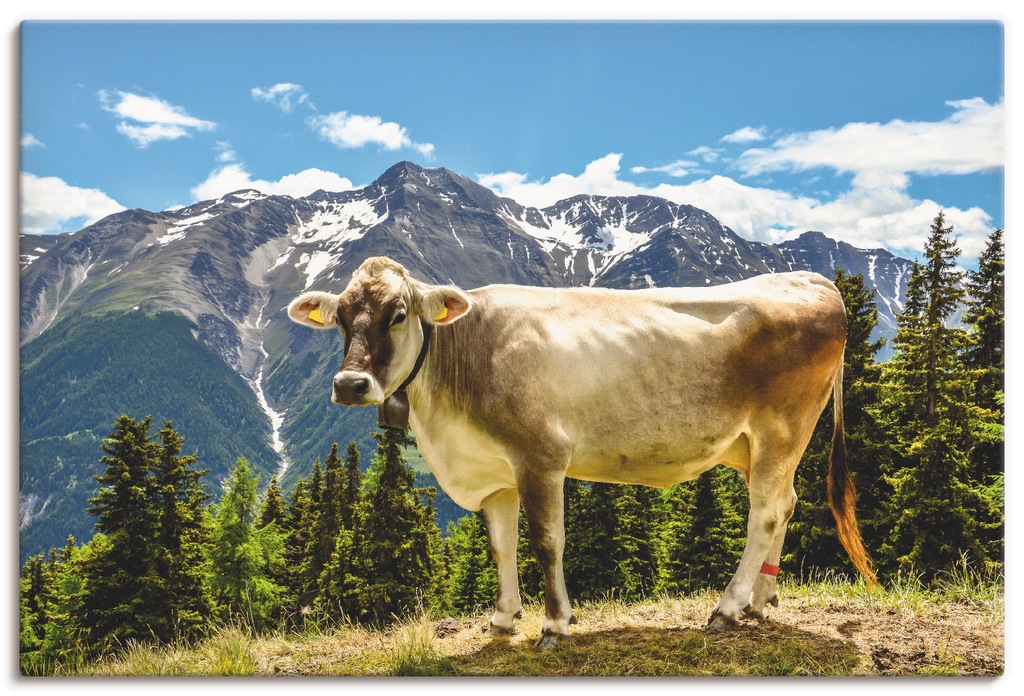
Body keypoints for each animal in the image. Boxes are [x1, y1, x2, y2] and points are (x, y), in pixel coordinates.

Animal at [286, 257, 872, 650]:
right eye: (341, 318)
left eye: (399, 314)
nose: (350, 385)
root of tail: (811, 279)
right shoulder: (494, 472)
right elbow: (501, 546)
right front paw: (503, 619)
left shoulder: (540, 457)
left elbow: (547, 543)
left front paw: (554, 625)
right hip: (758, 444)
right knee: (785, 504)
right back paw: (760, 600)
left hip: (782, 427)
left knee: (765, 512)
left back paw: (727, 610)